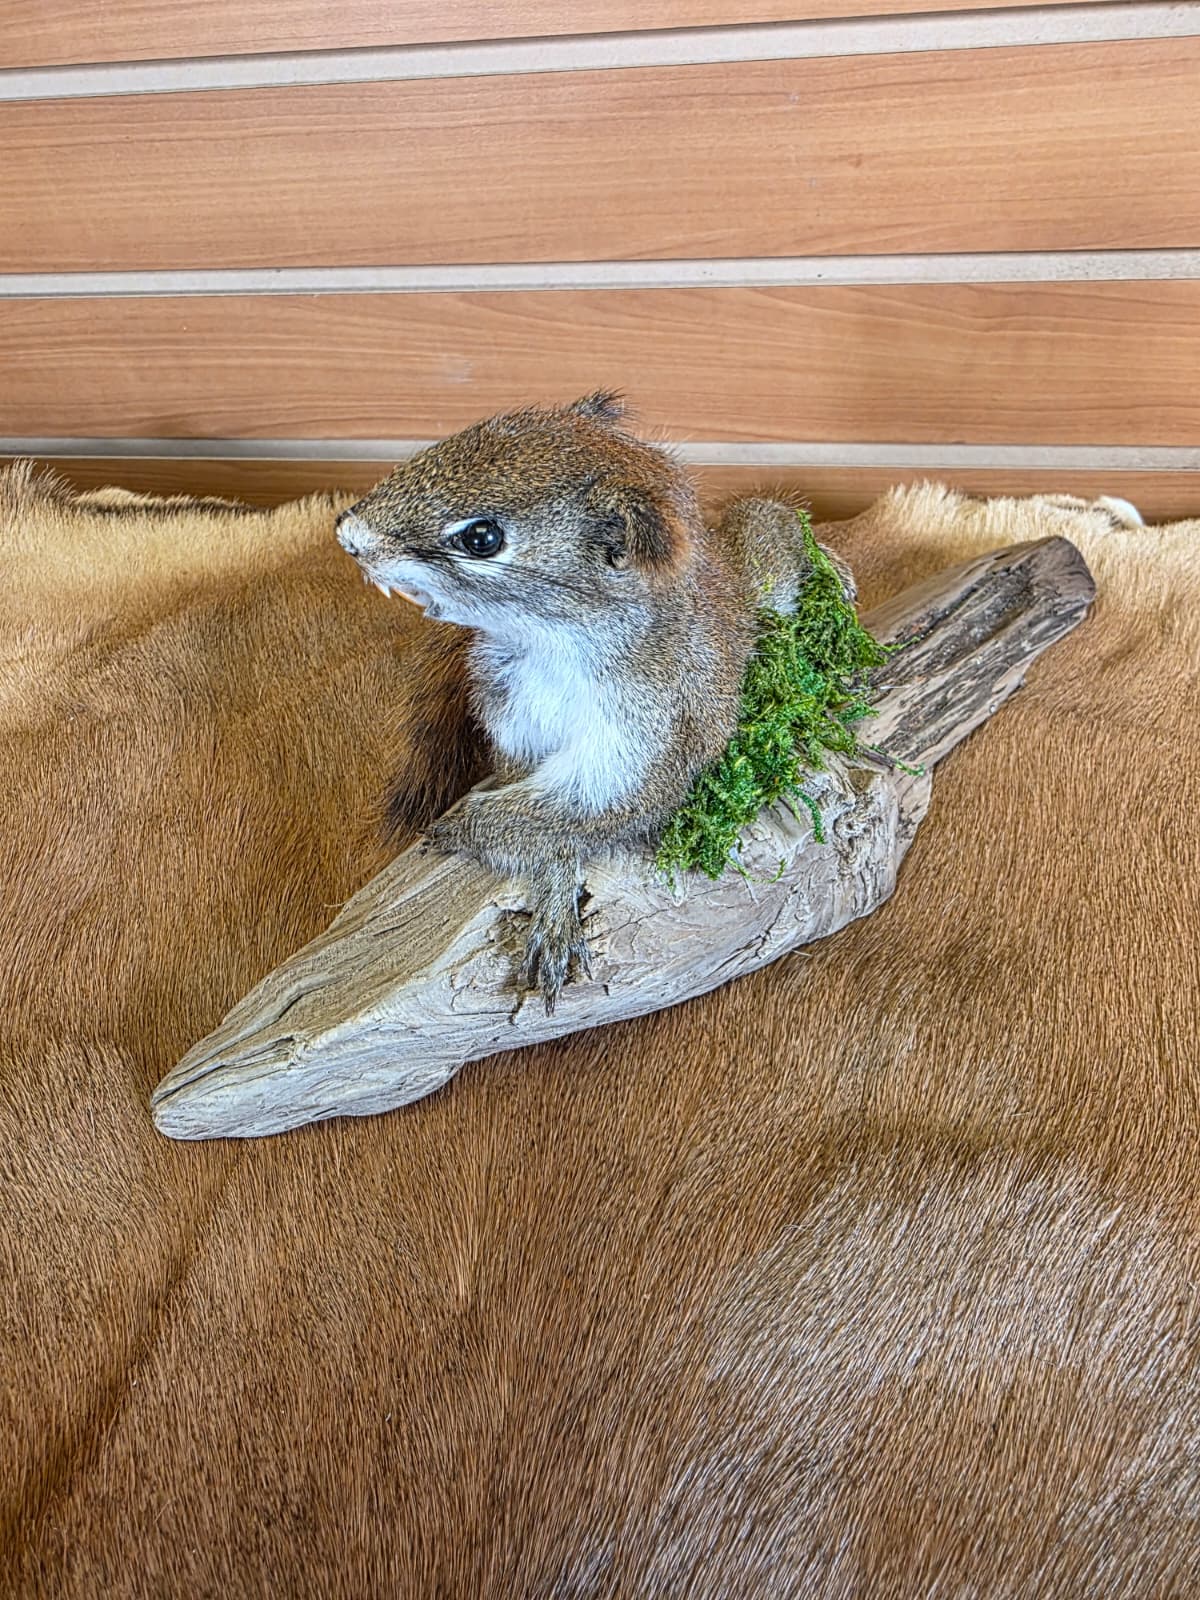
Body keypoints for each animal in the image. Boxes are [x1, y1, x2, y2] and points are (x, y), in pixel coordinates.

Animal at [335, 393, 855, 1012]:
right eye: (452, 441)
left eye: (482, 538)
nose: (348, 534)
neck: (552, 643)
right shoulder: (513, 722)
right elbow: (545, 823)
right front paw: (555, 889)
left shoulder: (650, 734)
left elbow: (571, 812)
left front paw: (459, 826)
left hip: (763, 576)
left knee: (771, 522)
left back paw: (833, 570)